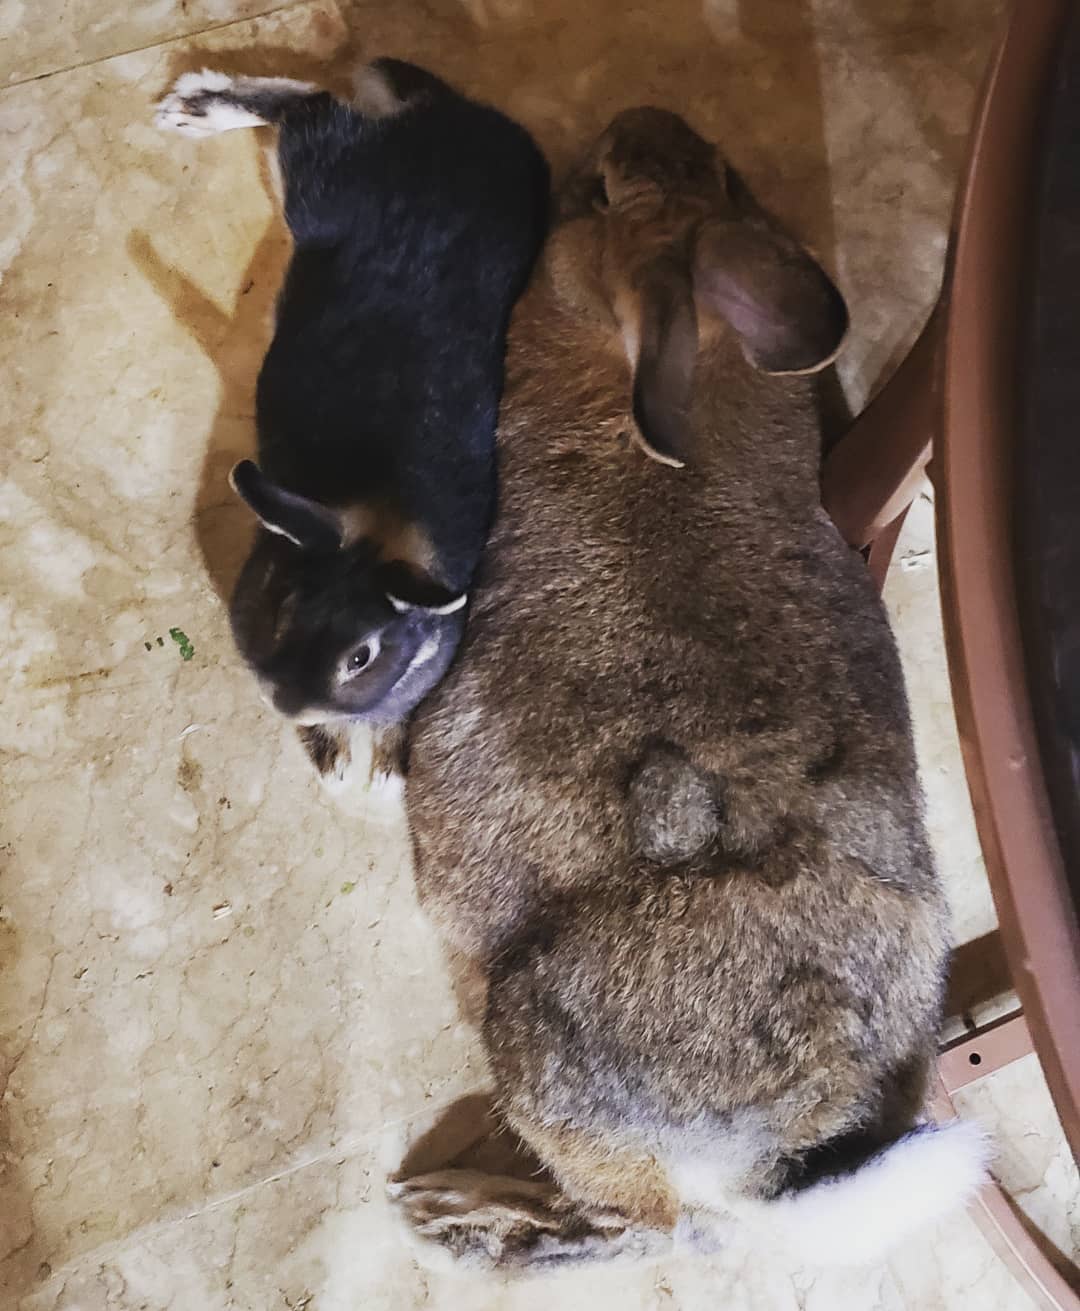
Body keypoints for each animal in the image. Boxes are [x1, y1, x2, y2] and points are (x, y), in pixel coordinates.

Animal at [155, 61, 549, 788]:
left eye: (360, 656)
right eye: (284, 609)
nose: (285, 702)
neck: (377, 524)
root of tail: (451, 118)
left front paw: (387, 768)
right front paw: (338, 763)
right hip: (320, 189)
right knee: (308, 109)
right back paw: (194, 108)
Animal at [391, 108, 987, 1270]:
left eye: (595, 196)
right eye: (724, 175)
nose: (635, 119)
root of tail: (770, 1154)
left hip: (536, 1047)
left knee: (645, 1231)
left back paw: (454, 1219)